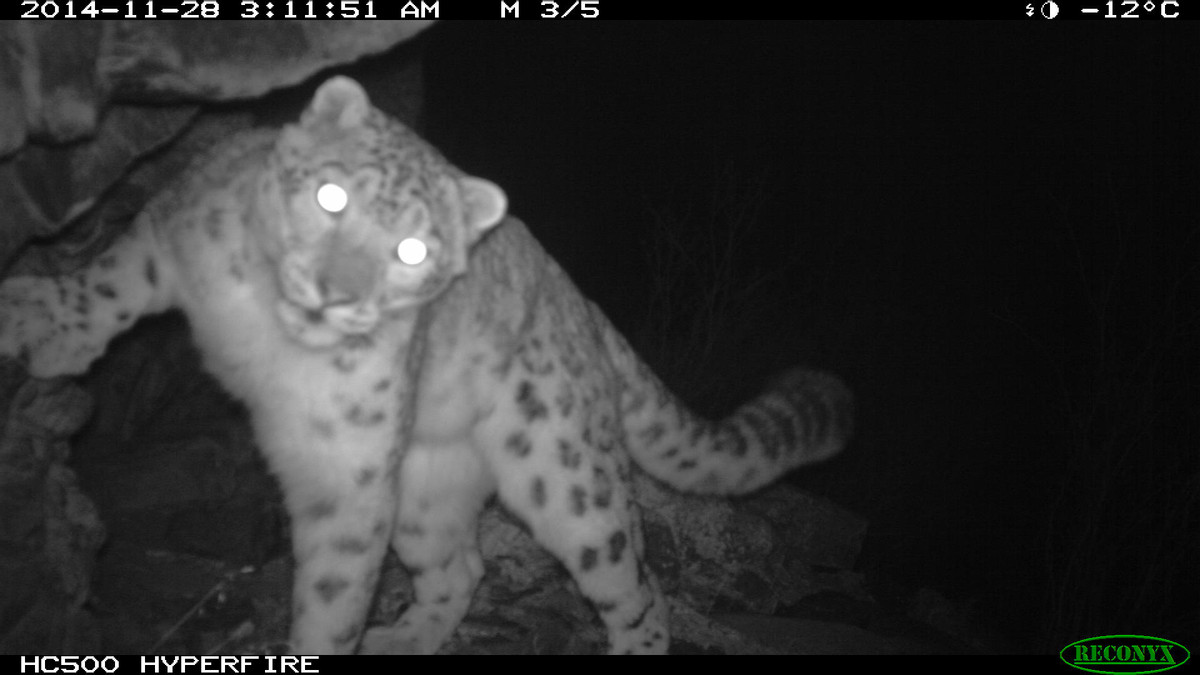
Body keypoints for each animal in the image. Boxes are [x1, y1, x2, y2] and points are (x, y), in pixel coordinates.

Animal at [0, 76, 853, 654]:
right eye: (331, 196)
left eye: (413, 250)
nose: (335, 295)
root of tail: (577, 297)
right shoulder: (177, 220)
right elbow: (113, 279)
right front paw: (42, 322)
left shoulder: (348, 467)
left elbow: (336, 586)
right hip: (423, 488)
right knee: (462, 565)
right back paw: (406, 635)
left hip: (570, 475)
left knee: (635, 580)